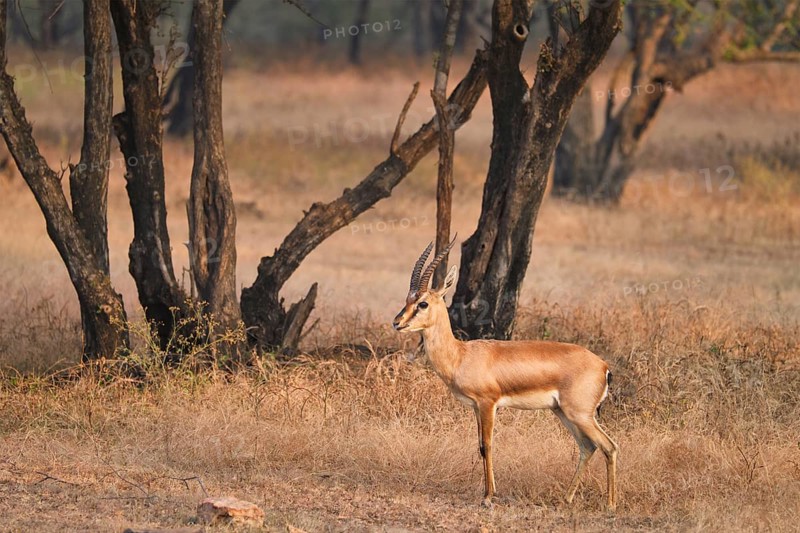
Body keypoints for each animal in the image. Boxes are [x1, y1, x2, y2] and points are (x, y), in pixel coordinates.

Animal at [392, 240, 618, 510]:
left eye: (423, 303)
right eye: (407, 300)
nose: (397, 322)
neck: (461, 355)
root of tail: (603, 366)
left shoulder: (488, 404)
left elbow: (488, 445)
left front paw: (489, 497)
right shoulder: (476, 407)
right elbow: (480, 445)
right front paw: (486, 493)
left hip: (580, 415)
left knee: (609, 446)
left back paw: (610, 505)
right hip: (563, 413)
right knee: (588, 447)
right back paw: (566, 499)